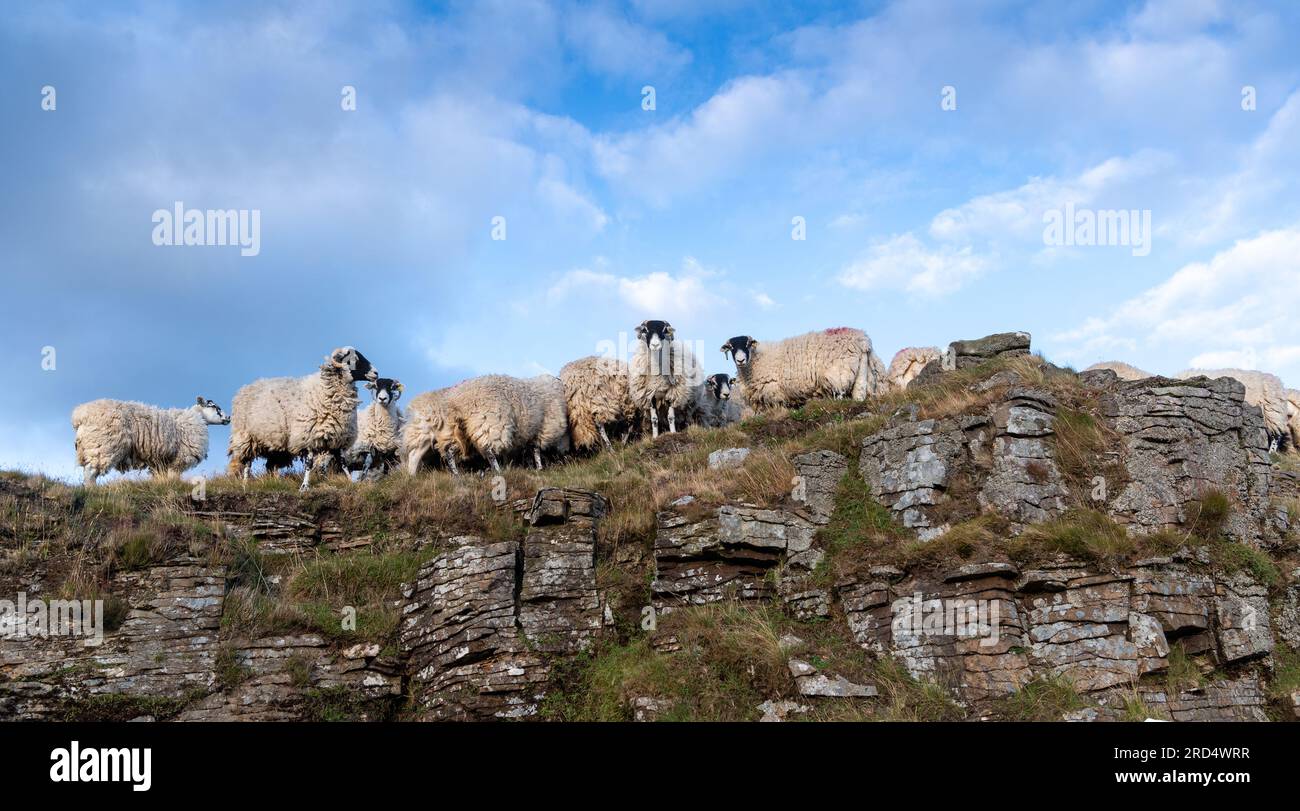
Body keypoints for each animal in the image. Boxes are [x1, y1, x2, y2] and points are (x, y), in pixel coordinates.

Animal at [73, 395, 232, 483]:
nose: (229, 418)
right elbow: (174, 478)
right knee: (90, 473)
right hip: (103, 445)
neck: (197, 418)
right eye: (214, 407)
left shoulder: (162, 462)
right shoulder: (179, 459)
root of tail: (80, 415)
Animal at [227, 345, 379, 491]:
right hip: (247, 438)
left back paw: (275, 482)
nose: (376, 373)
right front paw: (305, 486)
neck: (325, 389)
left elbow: (343, 464)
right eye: (353, 360)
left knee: (270, 466)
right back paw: (245, 484)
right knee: (247, 463)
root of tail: (246, 387)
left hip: (276, 444)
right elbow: (309, 464)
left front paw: (350, 482)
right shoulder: (309, 436)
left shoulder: (338, 439)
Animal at [717, 324, 889, 408]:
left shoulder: (774, 393)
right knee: (859, 394)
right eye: (731, 347)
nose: (740, 360)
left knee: (840, 393)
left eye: (747, 344)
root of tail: (862, 341)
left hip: (838, 374)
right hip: (862, 372)